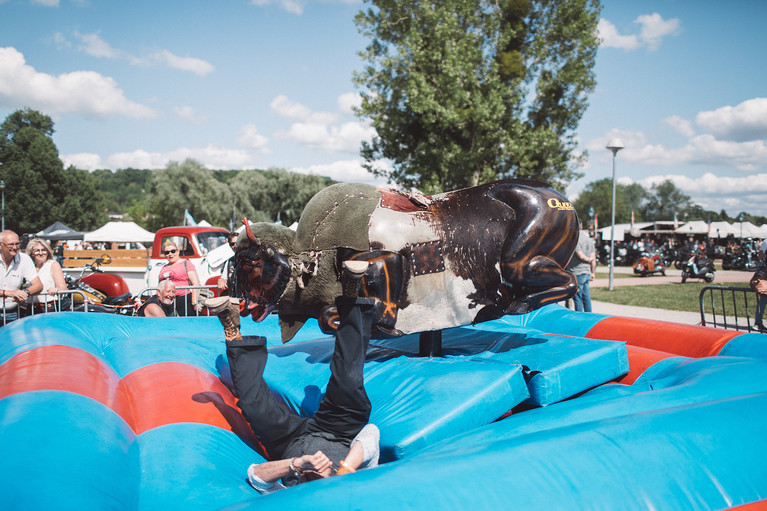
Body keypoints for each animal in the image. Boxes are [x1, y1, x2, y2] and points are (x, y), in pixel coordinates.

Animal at [231, 180, 580, 344]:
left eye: (250, 264)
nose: (243, 302)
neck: (318, 255)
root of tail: (561, 200)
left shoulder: (386, 261)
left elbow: (357, 310)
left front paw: (383, 328)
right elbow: (328, 316)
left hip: (518, 262)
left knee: (570, 282)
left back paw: (517, 304)